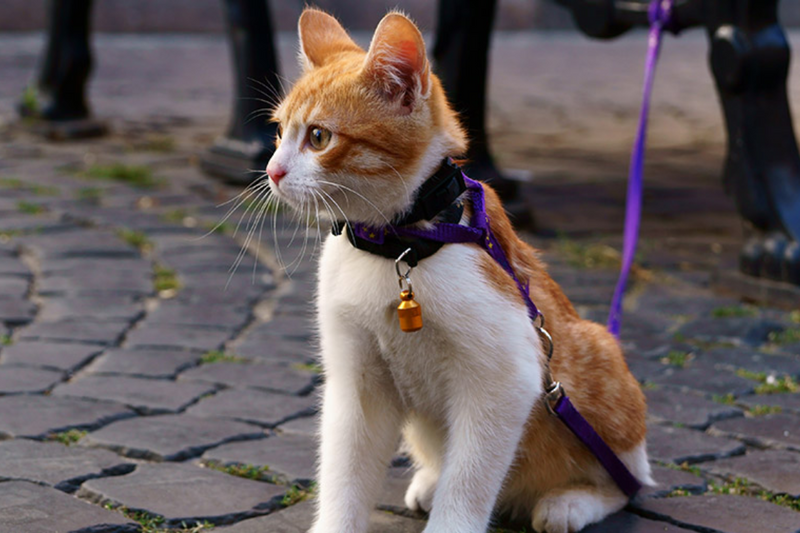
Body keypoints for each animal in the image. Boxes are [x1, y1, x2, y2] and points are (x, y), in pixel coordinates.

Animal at [266, 8, 652, 532]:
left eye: (319, 137)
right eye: (278, 132)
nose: (272, 171)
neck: (399, 248)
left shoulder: (506, 381)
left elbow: (467, 483)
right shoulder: (356, 384)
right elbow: (344, 474)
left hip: (596, 362)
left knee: (628, 484)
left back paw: (570, 501)